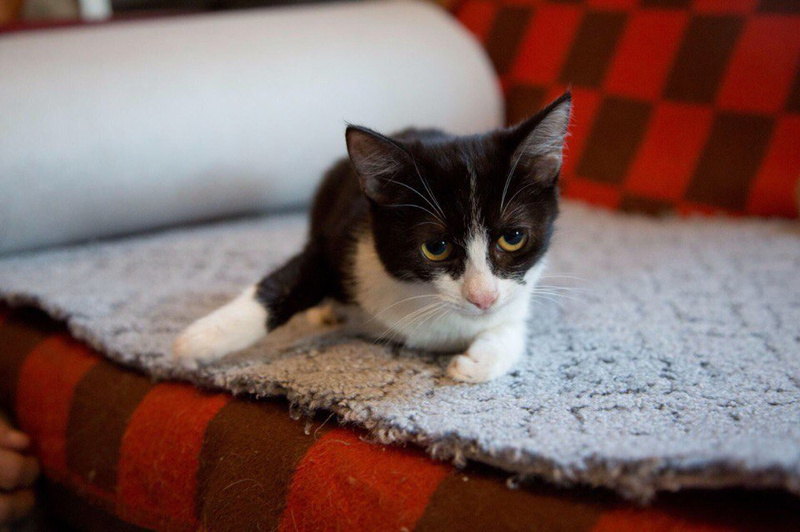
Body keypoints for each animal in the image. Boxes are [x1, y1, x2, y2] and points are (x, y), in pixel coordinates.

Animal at [173, 92, 571, 383]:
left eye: (513, 237)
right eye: (436, 247)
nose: (483, 298)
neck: (425, 299)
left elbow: (512, 325)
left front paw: (478, 361)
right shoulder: (340, 241)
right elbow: (285, 281)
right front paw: (200, 340)